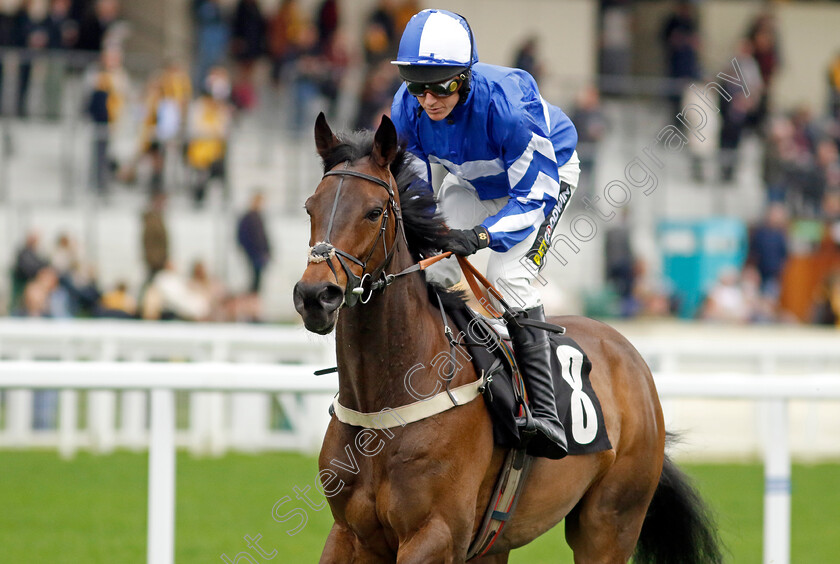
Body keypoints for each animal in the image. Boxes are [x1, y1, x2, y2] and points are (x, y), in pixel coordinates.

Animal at [292, 112, 720, 560]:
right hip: (495, 543)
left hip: (610, 522)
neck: (384, 407)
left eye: (374, 212)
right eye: (310, 207)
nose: (315, 295)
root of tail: (631, 356)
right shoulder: (350, 534)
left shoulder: (435, 533)